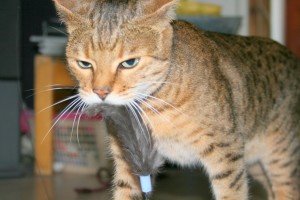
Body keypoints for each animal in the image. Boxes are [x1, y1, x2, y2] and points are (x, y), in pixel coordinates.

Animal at [53, 0, 300, 200]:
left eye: (129, 63)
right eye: (84, 64)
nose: (100, 92)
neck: (153, 106)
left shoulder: (226, 154)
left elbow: (232, 193)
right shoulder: (127, 160)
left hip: (281, 159)